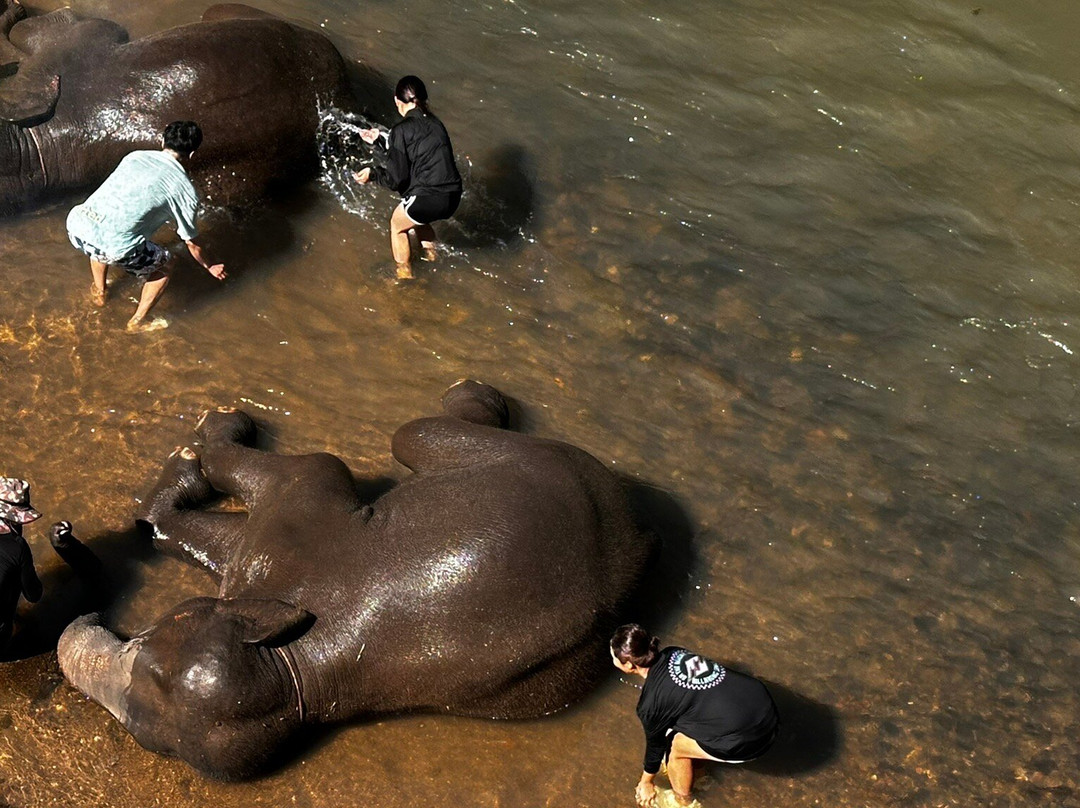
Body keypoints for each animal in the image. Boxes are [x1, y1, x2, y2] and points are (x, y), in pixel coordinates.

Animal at [58, 381, 655, 779]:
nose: (85, 624)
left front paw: (208, 434)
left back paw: (471, 392)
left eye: (147, 641)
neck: (299, 669)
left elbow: (310, 466)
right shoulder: (270, 560)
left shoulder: (299, 525)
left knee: (412, 433)